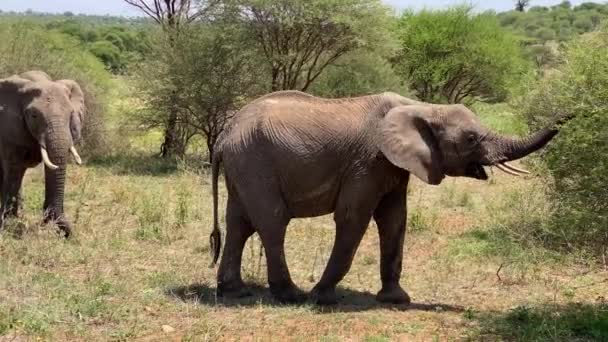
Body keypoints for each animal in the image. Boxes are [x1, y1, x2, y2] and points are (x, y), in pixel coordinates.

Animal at [0, 69, 86, 235]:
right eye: (34, 115)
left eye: (71, 114)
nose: (46, 220)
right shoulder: (8, 131)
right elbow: (14, 170)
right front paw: (8, 225)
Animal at [209, 89, 568, 304]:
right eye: (470, 138)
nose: (569, 116)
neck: (422, 106)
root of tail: (224, 134)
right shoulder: (368, 161)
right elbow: (354, 216)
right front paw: (322, 297)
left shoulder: (393, 165)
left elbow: (395, 218)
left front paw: (397, 299)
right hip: (254, 162)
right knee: (272, 221)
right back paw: (292, 295)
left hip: (244, 165)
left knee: (239, 223)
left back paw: (234, 291)